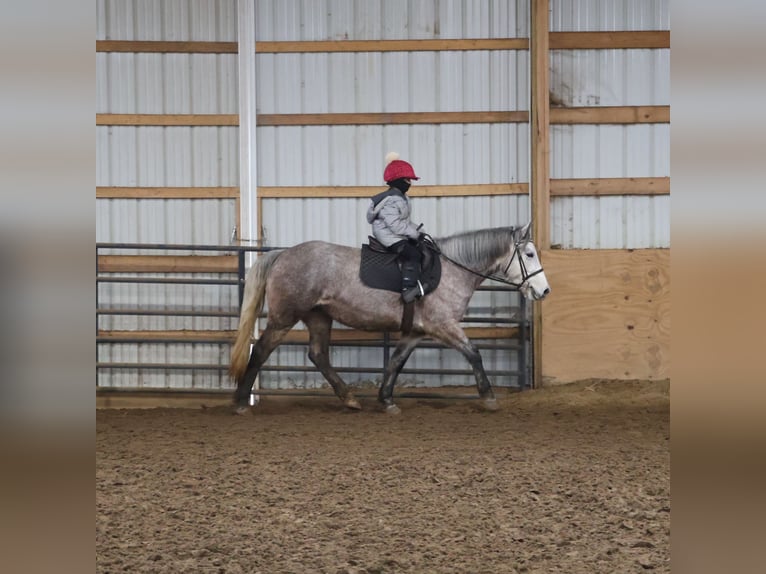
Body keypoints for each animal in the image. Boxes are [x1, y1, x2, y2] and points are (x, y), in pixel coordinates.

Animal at [229, 223, 550, 415]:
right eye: (529, 254)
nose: (544, 290)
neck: (452, 270)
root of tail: (281, 255)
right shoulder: (443, 325)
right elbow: (474, 354)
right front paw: (489, 397)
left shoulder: (416, 332)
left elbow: (396, 361)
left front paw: (386, 399)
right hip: (284, 317)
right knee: (261, 350)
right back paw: (241, 401)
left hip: (318, 317)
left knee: (318, 355)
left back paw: (349, 398)